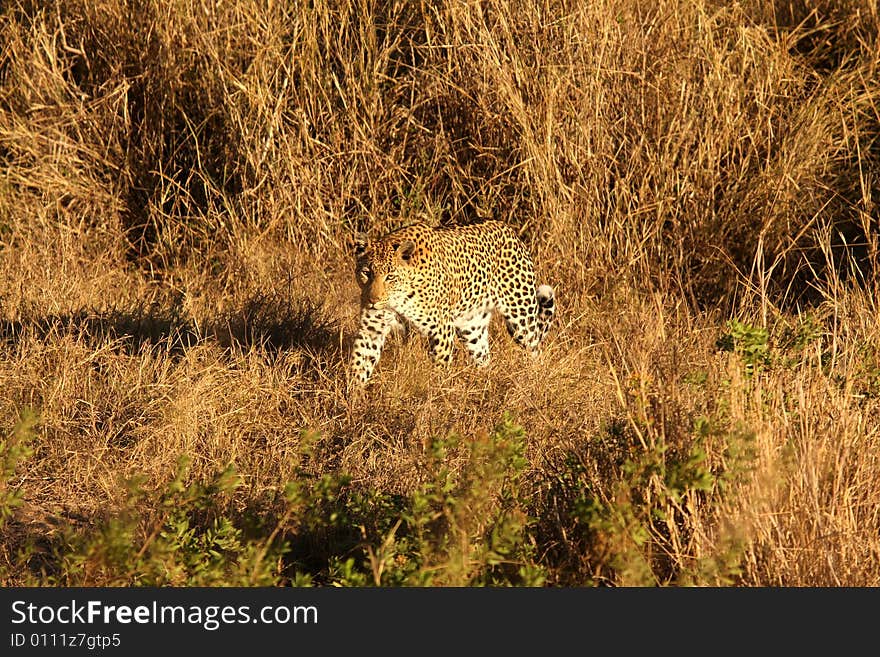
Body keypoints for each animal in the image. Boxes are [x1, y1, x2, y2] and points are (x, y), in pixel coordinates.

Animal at [348, 220, 552, 384]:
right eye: (366, 273)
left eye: (390, 277)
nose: (373, 301)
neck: (399, 297)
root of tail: (510, 230)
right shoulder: (371, 329)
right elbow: (360, 363)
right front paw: (353, 399)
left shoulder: (441, 329)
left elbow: (440, 367)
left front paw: (435, 396)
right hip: (472, 326)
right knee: (483, 356)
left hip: (521, 318)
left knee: (535, 350)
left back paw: (535, 380)